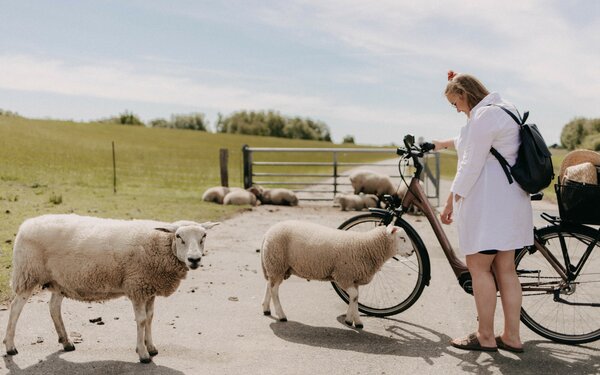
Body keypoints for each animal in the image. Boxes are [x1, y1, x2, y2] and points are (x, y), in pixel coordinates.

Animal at [3, 214, 219, 364]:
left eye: (204, 236)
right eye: (179, 236)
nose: (194, 259)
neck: (160, 245)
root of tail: (26, 224)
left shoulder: (148, 288)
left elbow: (150, 318)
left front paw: (151, 347)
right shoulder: (137, 286)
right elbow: (141, 320)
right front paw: (143, 354)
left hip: (59, 280)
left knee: (54, 307)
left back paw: (66, 342)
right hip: (27, 273)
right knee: (15, 308)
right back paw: (10, 346)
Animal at [260, 222, 410, 328]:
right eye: (402, 238)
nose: (412, 251)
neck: (367, 246)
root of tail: (268, 233)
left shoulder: (353, 278)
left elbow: (355, 297)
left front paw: (352, 320)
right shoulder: (343, 276)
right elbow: (354, 296)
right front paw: (354, 321)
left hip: (275, 266)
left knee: (269, 285)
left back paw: (266, 309)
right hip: (277, 263)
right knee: (274, 290)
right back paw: (281, 315)